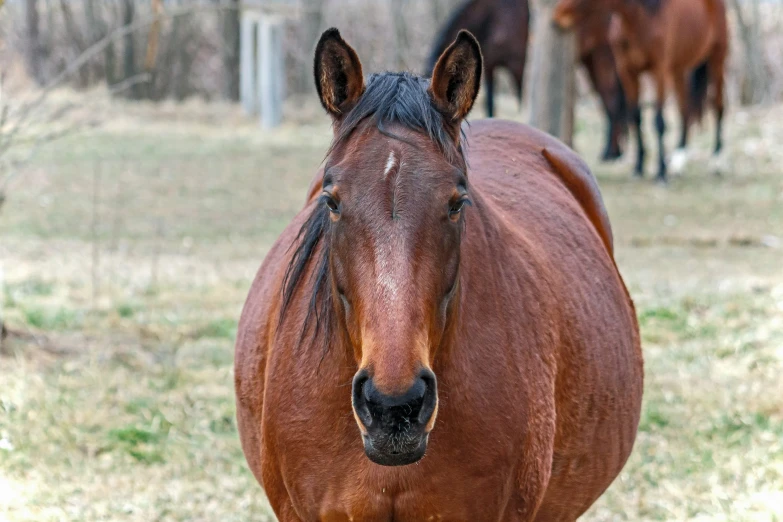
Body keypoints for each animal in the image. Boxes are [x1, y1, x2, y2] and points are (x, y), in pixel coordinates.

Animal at [426, 0, 628, 160]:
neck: (492, 17)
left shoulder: (518, 64)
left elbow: (521, 98)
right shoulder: (491, 66)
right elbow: (490, 102)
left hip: (604, 57)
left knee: (613, 99)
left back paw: (612, 152)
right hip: (593, 59)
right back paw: (612, 152)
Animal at [556, 0, 732, 181]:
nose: (559, 15)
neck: (639, 19)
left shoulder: (659, 71)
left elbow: (658, 121)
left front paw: (661, 172)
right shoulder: (627, 72)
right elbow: (635, 116)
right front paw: (638, 167)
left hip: (717, 58)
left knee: (718, 107)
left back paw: (716, 161)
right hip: (678, 69)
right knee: (685, 110)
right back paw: (678, 161)